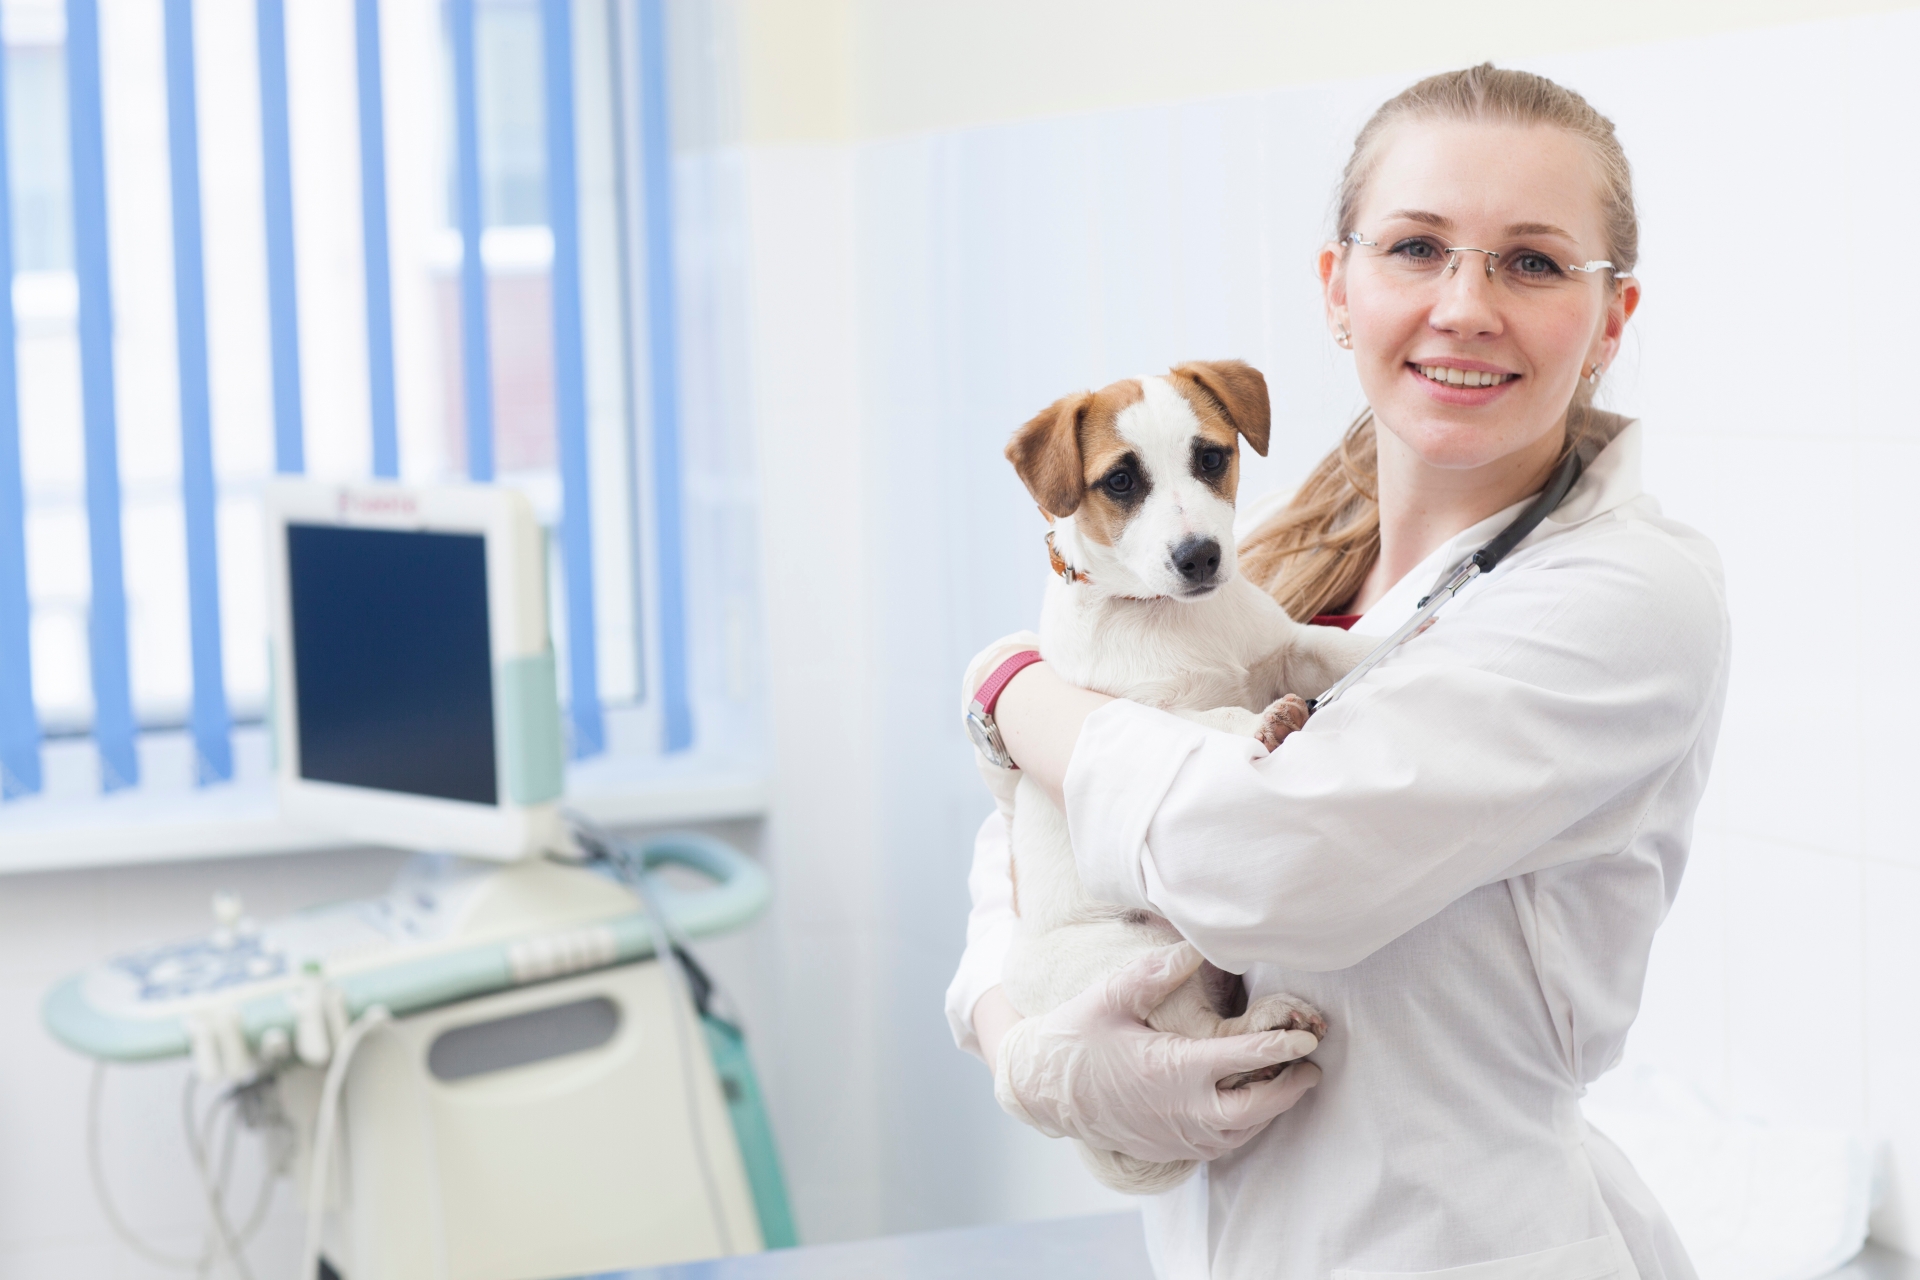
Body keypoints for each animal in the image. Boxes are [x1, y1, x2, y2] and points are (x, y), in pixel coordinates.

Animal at [990, 362, 1382, 1205]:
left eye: (1210, 458)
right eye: (1120, 480)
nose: (1201, 556)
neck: (1175, 620)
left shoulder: (1278, 648)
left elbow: (1322, 648)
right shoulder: (1139, 714)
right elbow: (1215, 719)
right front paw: (1263, 724)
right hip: (1134, 957)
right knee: (1201, 1043)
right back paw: (1267, 1024)